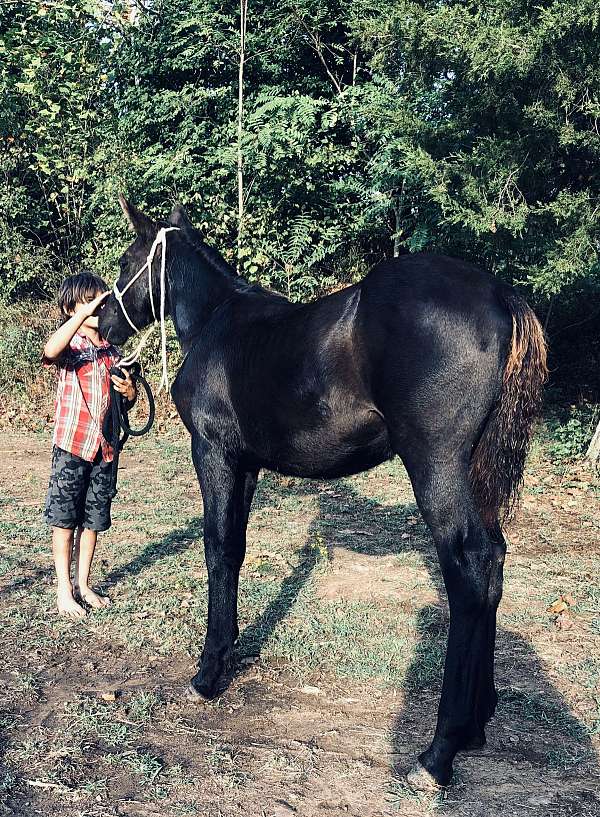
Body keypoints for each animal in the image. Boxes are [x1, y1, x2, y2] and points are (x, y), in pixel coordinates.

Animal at [99, 196, 548, 784]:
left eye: (127, 261)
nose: (102, 324)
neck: (219, 324)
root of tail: (499, 296)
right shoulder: (247, 465)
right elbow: (235, 549)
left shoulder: (214, 453)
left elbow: (217, 548)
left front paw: (208, 673)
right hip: (477, 473)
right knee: (493, 563)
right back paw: (477, 722)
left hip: (437, 466)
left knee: (469, 567)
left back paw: (438, 751)